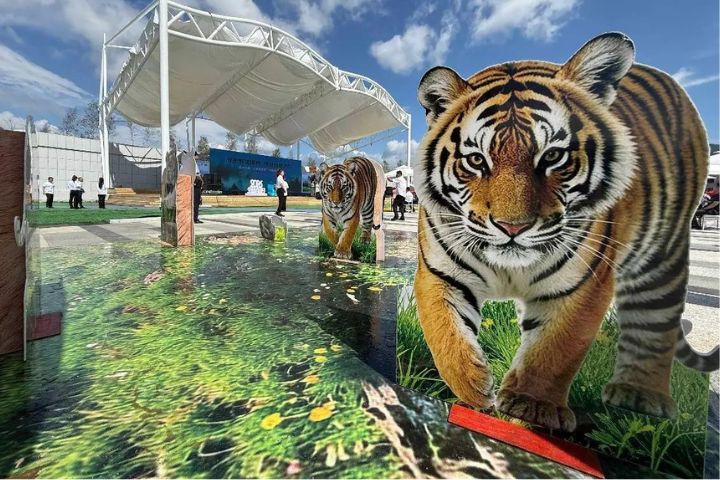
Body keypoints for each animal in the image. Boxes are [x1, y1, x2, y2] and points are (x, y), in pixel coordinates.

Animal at [413, 32, 719, 432]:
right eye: (476, 160)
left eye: (553, 156)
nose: (513, 226)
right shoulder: (441, 272)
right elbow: (444, 332)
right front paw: (474, 388)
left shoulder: (583, 282)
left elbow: (556, 347)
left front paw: (530, 405)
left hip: (661, 258)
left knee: (654, 324)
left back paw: (639, 396)